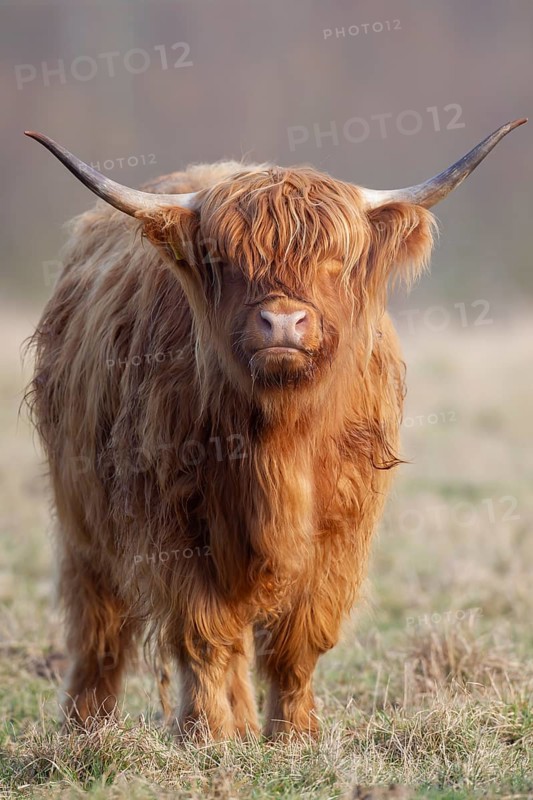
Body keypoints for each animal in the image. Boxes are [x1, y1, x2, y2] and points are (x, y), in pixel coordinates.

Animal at [25, 119, 525, 739]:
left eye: (338, 257)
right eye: (223, 257)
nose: (283, 321)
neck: (279, 444)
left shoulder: (340, 530)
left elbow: (298, 641)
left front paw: (294, 735)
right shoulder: (174, 523)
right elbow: (203, 635)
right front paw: (208, 735)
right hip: (82, 517)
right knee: (99, 629)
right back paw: (85, 725)